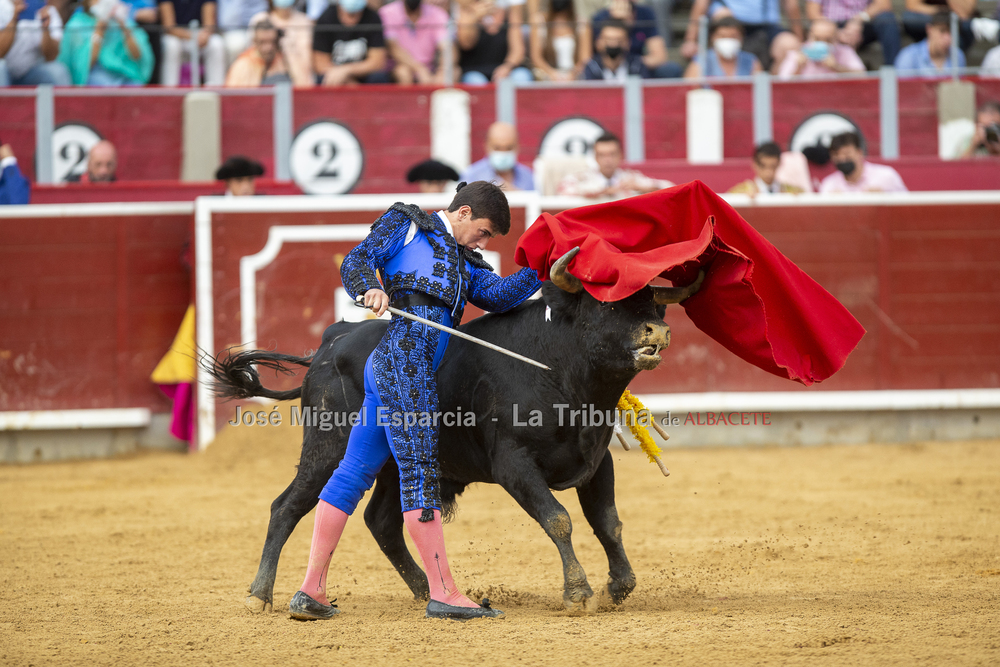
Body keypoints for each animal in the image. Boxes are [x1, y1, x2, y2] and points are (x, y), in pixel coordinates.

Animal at [213, 258, 704, 616]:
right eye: (605, 307)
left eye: (657, 307)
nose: (658, 331)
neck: (564, 375)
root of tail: (330, 342)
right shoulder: (514, 464)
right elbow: (559, 519)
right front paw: (578, 593)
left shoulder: (597, 461)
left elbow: (608, 522)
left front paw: (619, 585)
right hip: (327, 448)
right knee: (289, 507)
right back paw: (262, 595)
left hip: (396, 464)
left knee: (382, 520)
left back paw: (425, 591)